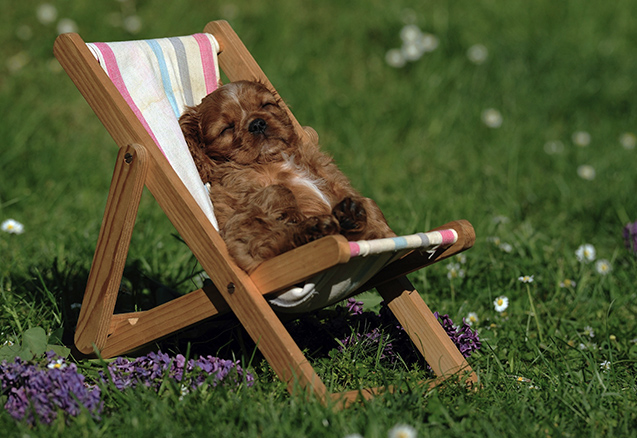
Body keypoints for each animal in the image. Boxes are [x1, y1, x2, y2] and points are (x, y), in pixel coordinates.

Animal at [176, 80, 390, 272]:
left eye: (266, 105)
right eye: (226, 128)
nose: (257, 124)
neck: (276, 160)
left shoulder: (336, 181)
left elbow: (371, 208)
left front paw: (362, 217)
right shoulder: (234, 212)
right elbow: (278, 190)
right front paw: (291, 212)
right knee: (267, 244)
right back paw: (313, 229)